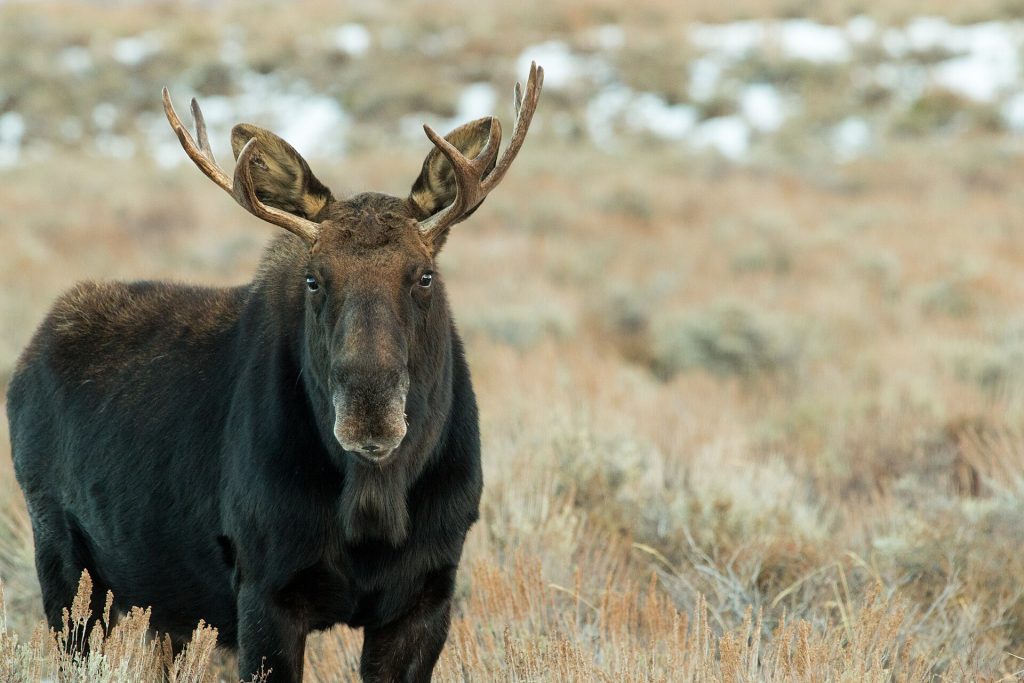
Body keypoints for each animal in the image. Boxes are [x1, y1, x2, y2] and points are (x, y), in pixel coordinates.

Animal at [6, 63, 543, 682]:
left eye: (425, 275)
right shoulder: (265, 590)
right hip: (65, 565)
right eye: (314, 278)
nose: (369, 416)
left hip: (163, 609)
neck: (372, 510)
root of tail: (23, 363)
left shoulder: (427, 593)